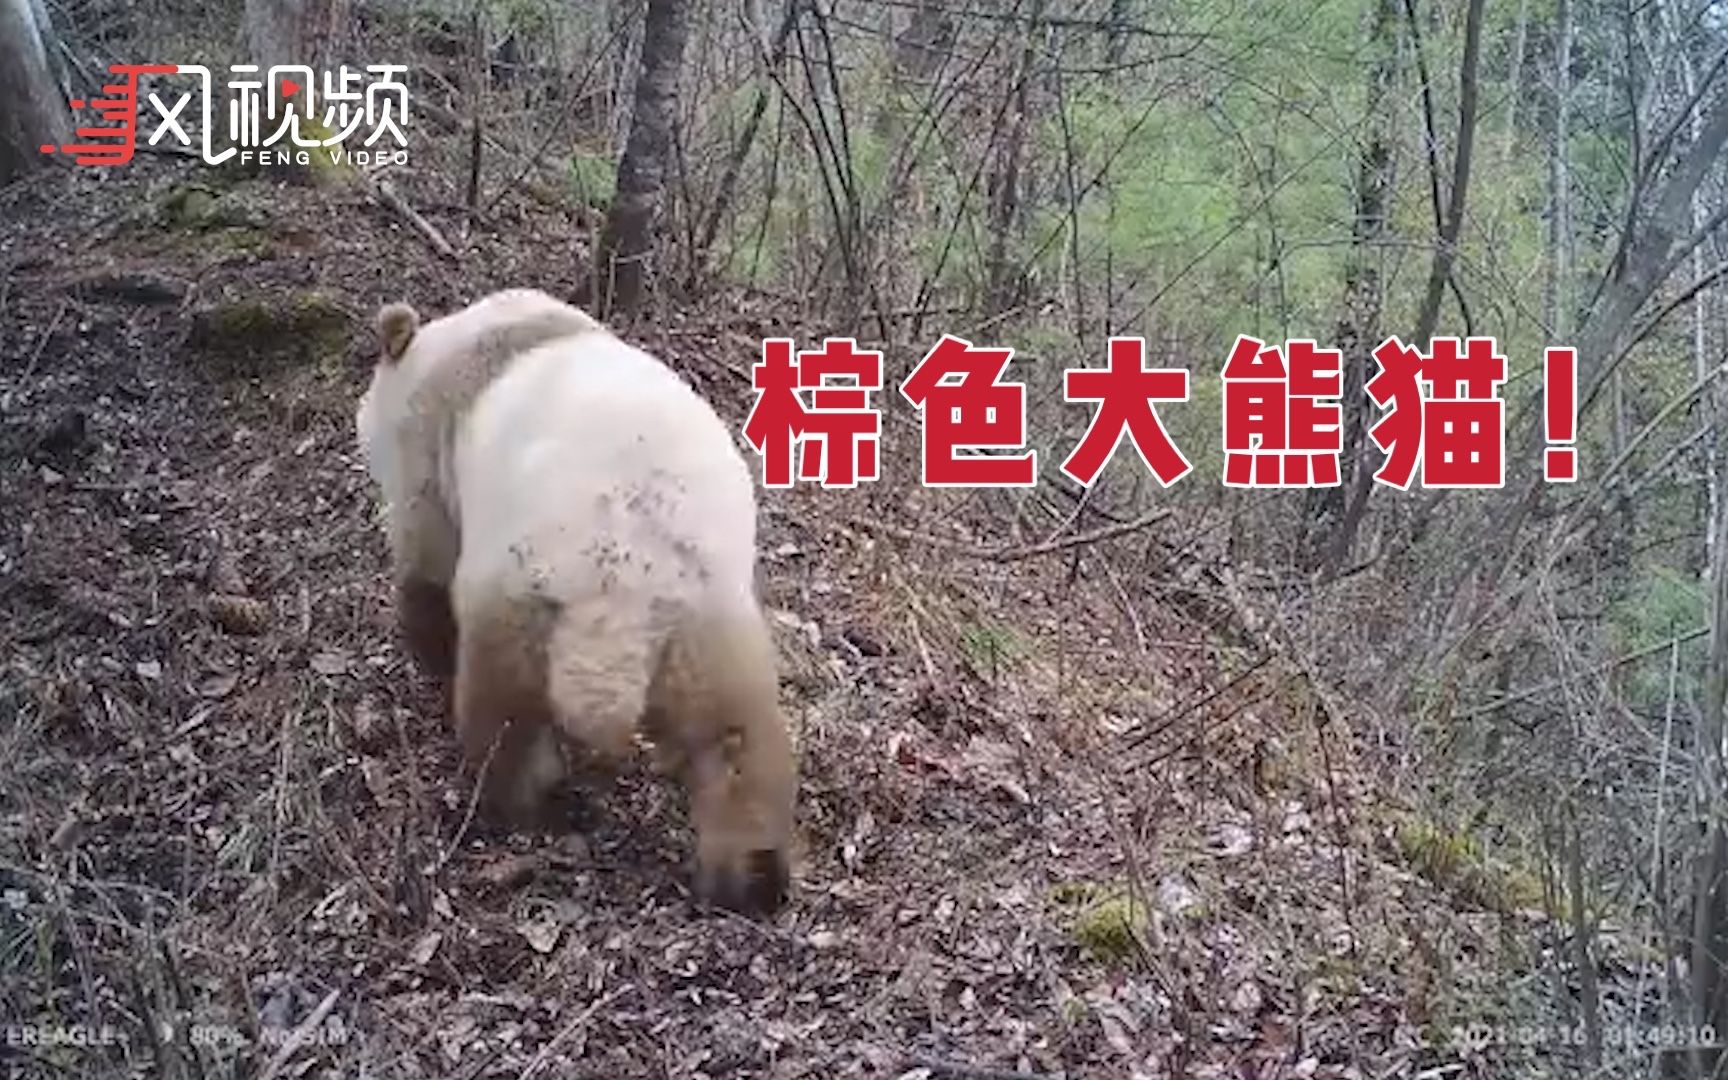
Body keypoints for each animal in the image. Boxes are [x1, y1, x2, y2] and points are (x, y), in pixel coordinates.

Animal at [359, 286, 801, 912]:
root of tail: (624, 585)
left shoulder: (426, 448)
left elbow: (427, 563)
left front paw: (428, 654)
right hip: (706, 614)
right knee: (735, 734)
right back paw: (752, 877)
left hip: (520, 595)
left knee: (505, 714)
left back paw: (517, 805)